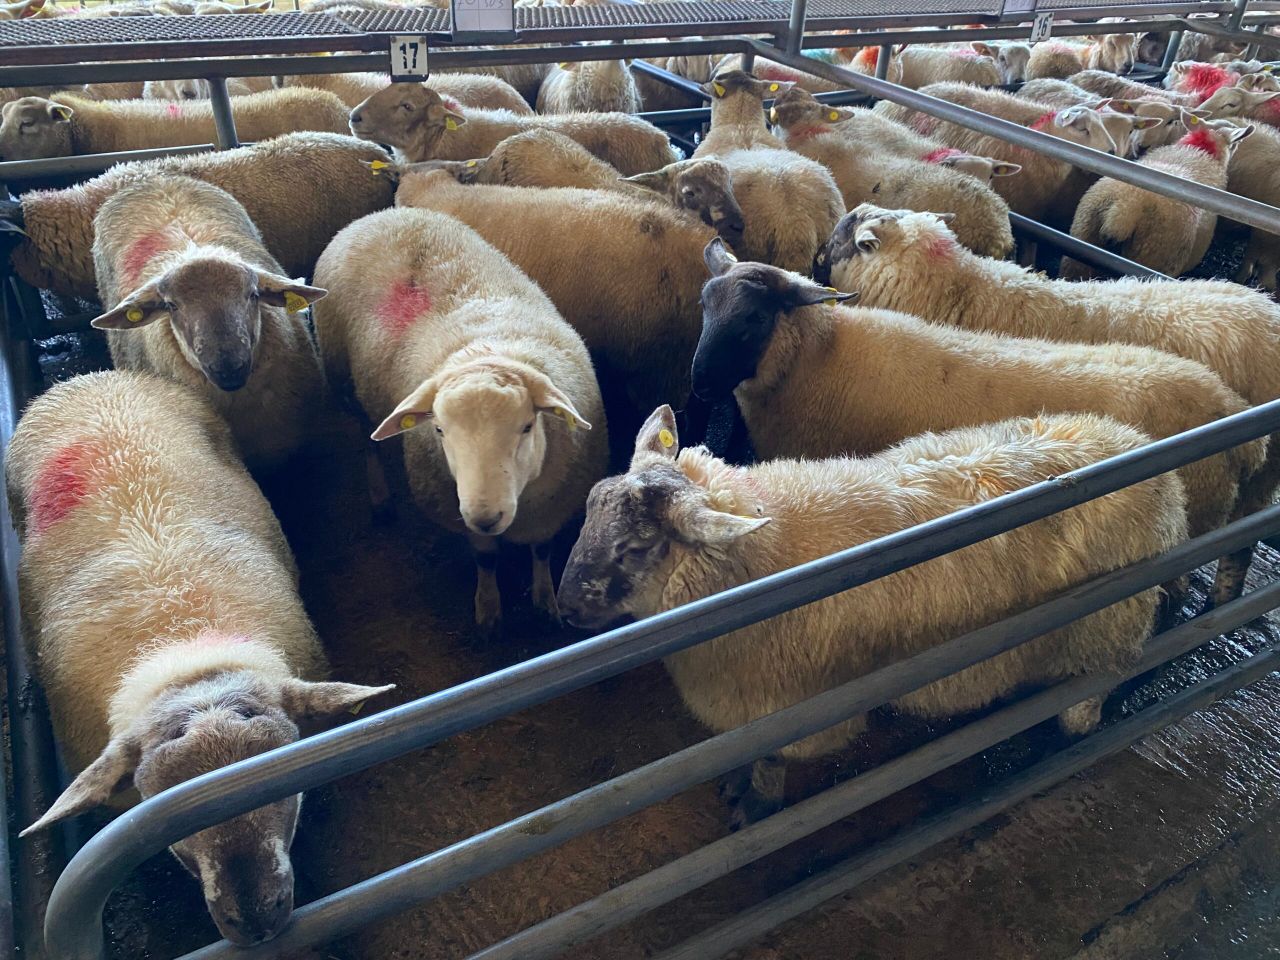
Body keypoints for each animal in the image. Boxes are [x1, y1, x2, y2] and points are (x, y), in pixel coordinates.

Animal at [311, 207, 607, 638]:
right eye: (438, 430)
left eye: (526, 427)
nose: (486, 517)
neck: (488, 351)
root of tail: (386, 214)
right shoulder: (462, 514)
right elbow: (485, 560)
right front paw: (488, 609)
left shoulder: (552, 507)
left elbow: (543, 552)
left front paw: (544, 601)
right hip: (345, 383)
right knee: (368, 444)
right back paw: (381, 498)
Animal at [557, 403, 1186, 826]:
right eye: (587, 511)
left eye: (634, 548)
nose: (563, 608)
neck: (762, 549)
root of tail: (1170, 488)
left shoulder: (791, 703)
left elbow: (772, 760)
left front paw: (758, 803)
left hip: (1102, 630)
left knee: (1084, 708)